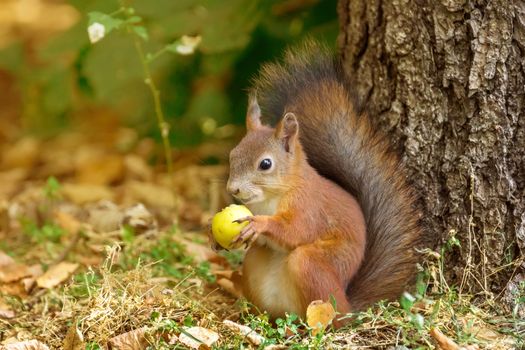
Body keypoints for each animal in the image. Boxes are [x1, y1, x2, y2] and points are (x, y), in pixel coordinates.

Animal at [211, 41, 420, 328]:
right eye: (233, 154)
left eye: (265, 164)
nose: (233, 190)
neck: (273, 196)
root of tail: (349, 308)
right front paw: (216, 240)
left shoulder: (308, 205)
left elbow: (296, 230)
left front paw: (260, 224)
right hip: (257, 267)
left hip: (312, 266)